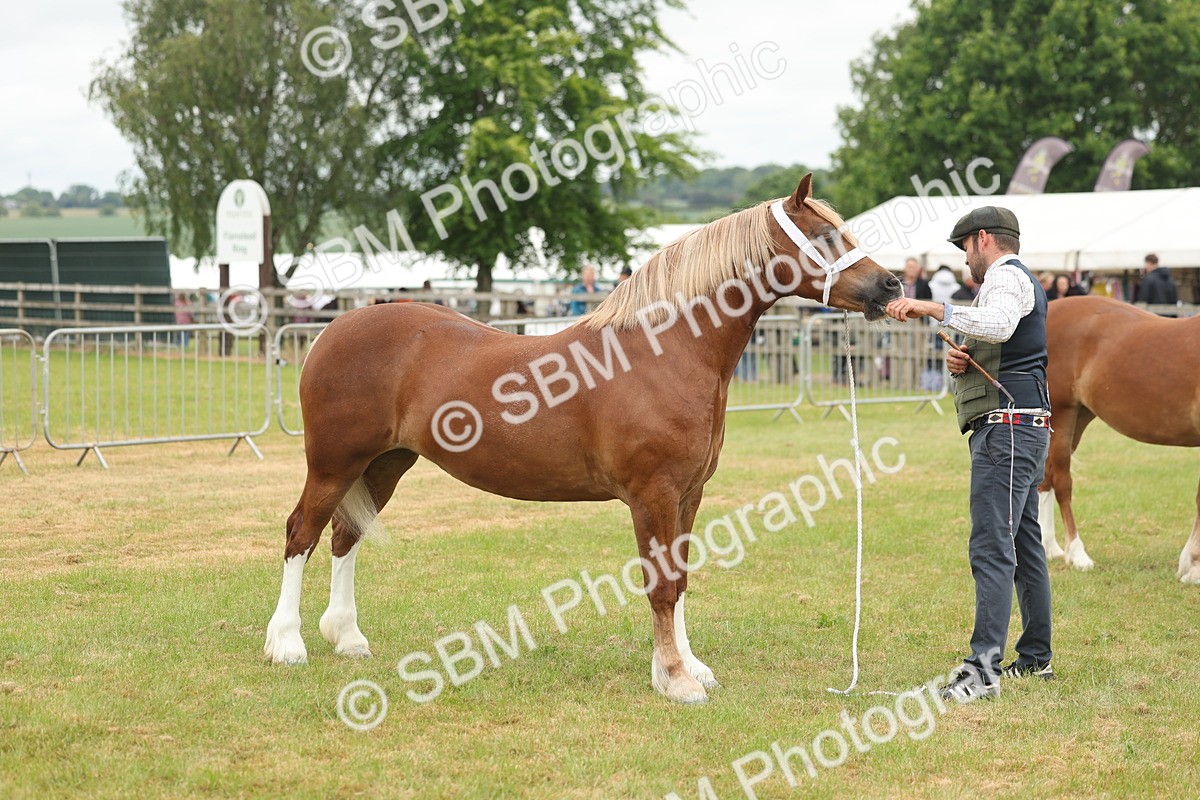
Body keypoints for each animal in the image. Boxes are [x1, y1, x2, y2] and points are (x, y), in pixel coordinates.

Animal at [263, 174, 903, 703]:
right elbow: (661, 586)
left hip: (385, 464)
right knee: (302, 533)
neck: (665, 352)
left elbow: (682, 578)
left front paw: (690, 667)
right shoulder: (653, 494)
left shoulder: (689, 494)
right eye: (825, 235)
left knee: (345, 536)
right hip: (333, 463)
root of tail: (332, 330)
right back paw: (288, 644)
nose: (890, 284)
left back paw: (348, 638)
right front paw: (675, 681)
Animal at [1037, 295, 1200, 583]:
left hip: (1077, 416)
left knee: (1045, 478)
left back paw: (1049, 548)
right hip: (1062, 414)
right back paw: (1077, 554)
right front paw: (1193, 566)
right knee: (1061, 481)